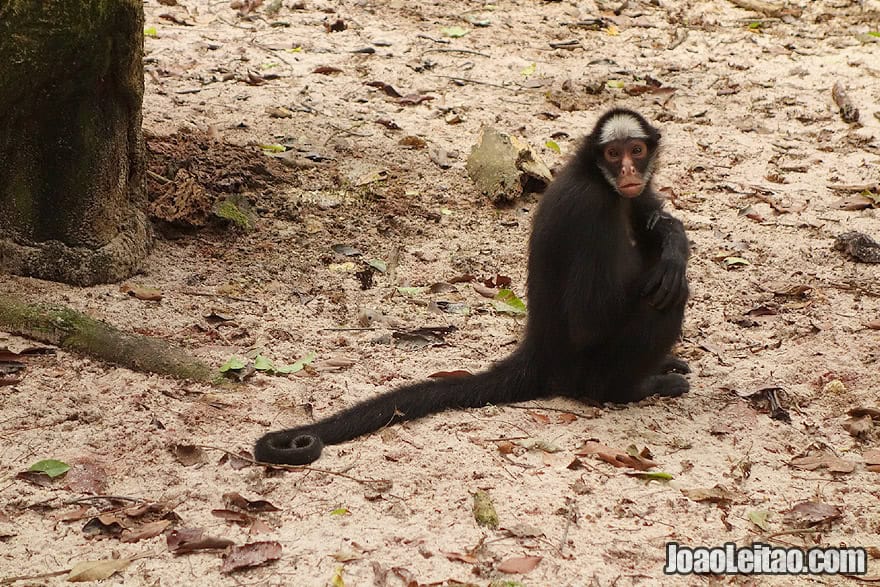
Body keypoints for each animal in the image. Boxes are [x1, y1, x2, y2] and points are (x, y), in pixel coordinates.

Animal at [256, 108, 696, 466]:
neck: (598, 180)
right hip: (584, 369)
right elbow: (590, 320)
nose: (628, 173)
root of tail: (539, 352)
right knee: (666, 295)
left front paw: (673, 239)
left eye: (636, 150)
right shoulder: (591, 206)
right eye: (612, 155)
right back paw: (627, 388)